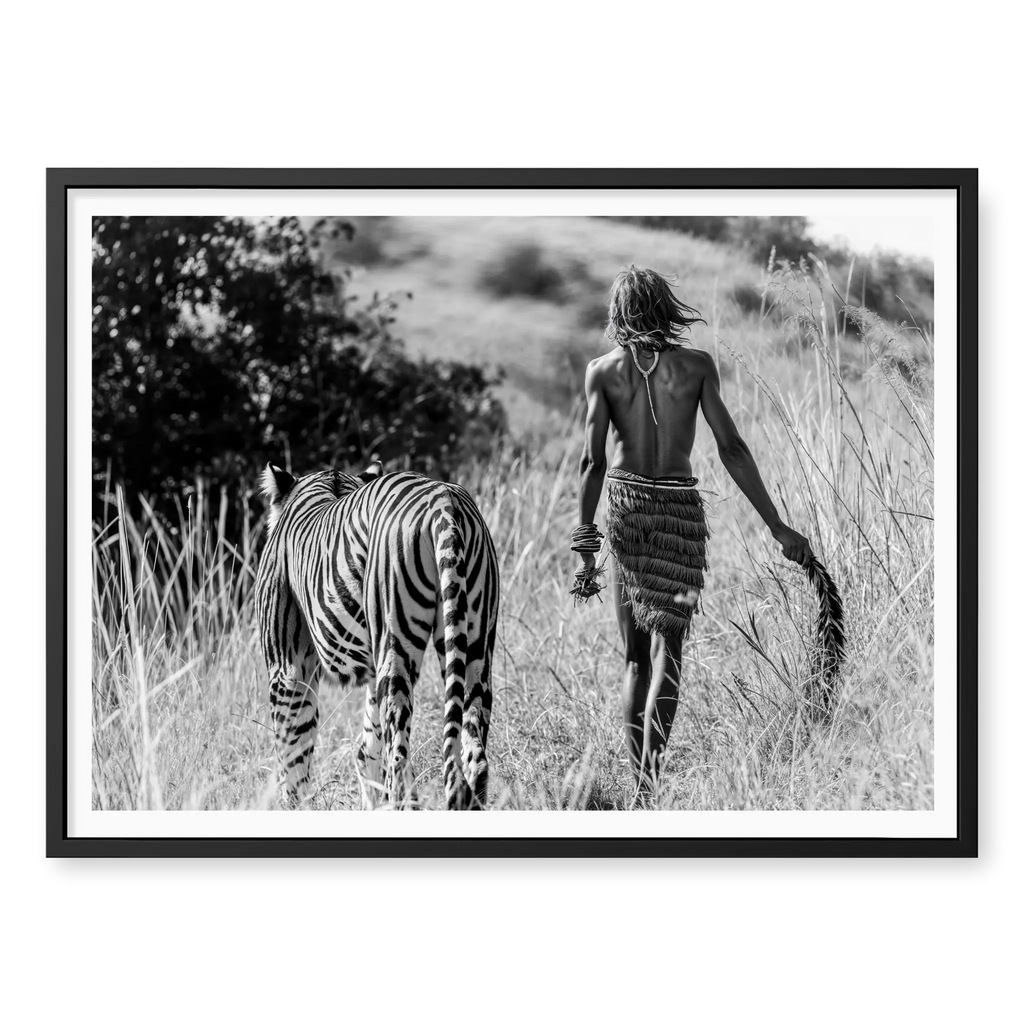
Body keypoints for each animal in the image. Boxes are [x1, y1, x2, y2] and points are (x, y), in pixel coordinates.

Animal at [255, 460, 500, 811]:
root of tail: (443, 498)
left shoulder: (287, 669)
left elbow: (294, 759)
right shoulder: (370, 669)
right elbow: (367, 748)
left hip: (396, 646)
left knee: (399, 760)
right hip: (476, 647)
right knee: (473, 754)